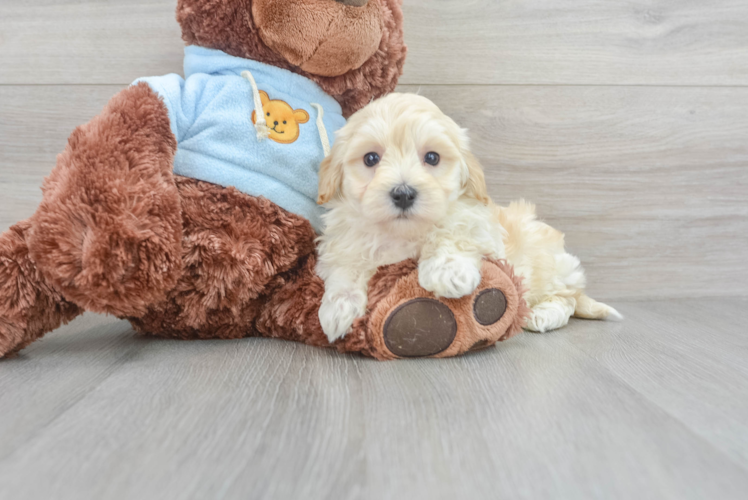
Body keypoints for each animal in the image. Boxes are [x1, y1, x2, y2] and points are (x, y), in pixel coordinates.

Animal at [316, 92, 620, 342]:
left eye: (432, 157)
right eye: (370, 159)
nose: (403, 194)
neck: (403, 233)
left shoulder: (480, 224)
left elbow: (455, 230)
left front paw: (447, 272)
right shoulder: (345, 241)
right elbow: (346, 265)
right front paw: (339, 308)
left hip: (548, 265)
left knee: (567, 299)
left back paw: (542, 314)